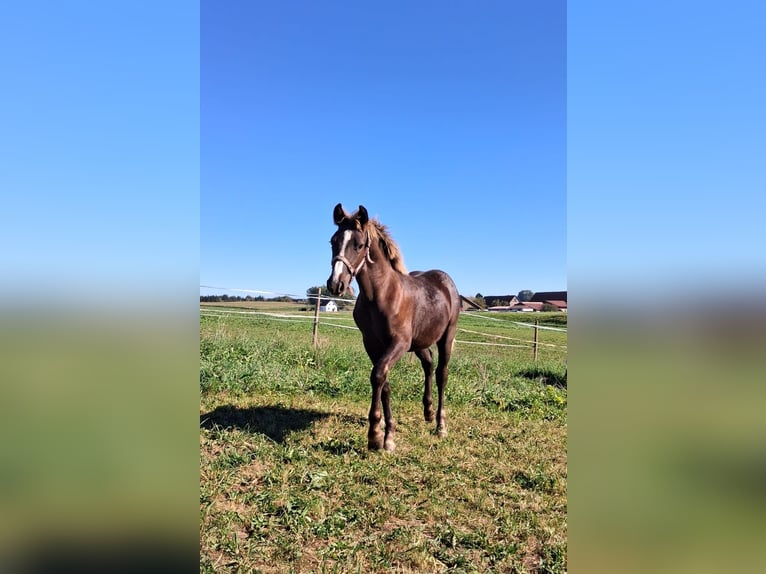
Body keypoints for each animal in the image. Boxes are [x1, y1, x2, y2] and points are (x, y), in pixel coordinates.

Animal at [326, 204, 461, 452]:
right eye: (333, 241)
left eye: (359, 244)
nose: (335, 284)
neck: (381, 295)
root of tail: (445, 281)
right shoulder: (372, 344)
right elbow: (383, 381)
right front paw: (385, 433)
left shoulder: (398, 343)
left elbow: (379, 375)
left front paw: (375, 436)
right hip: (420, 341)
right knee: (428, 364)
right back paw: (427, 412)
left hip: (446, 336)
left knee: (441, 373)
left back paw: (440, 425)